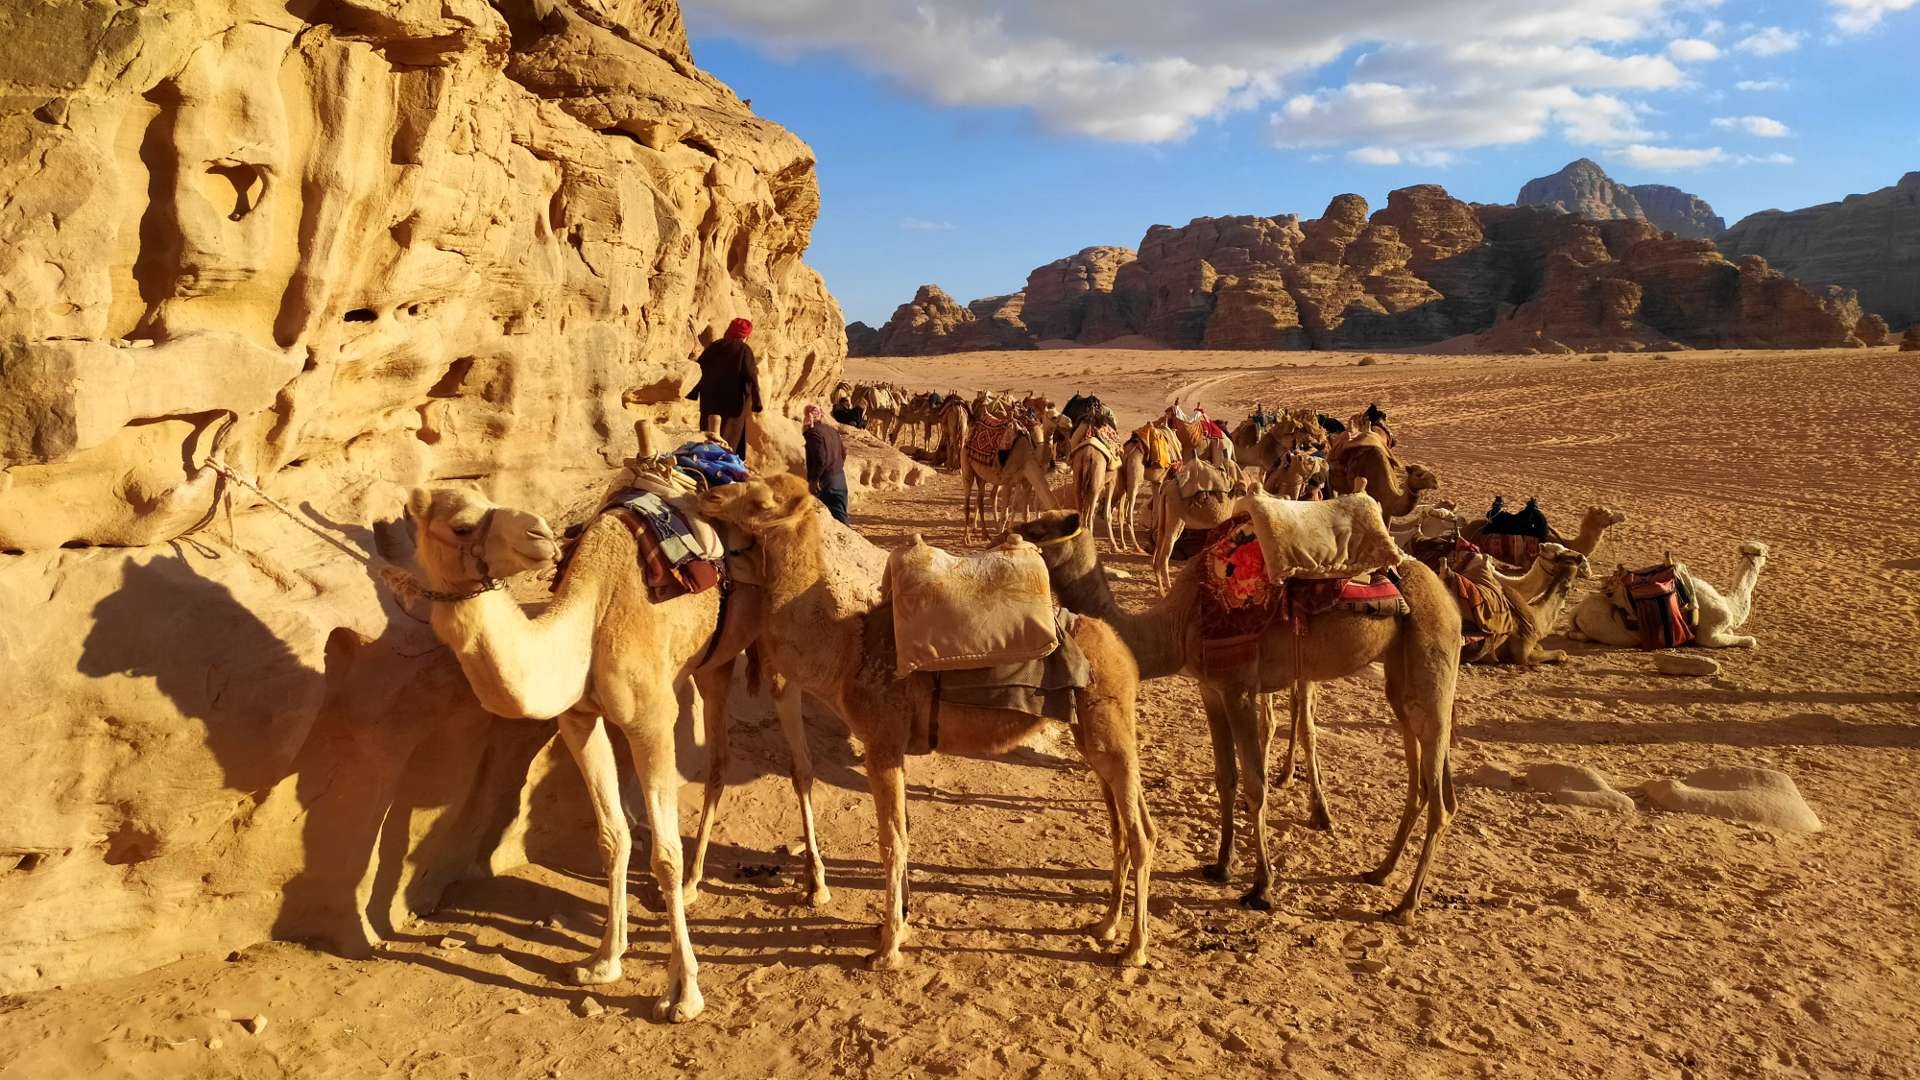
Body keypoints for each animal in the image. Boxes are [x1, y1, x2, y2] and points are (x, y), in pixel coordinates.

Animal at [406, 487, 809, 1023]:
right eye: (462, 525)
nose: (539, 533)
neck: (591, 616)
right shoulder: (579, 720)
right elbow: (612, 837)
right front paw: (603, 961)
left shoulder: (651, 721)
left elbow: (665, 853)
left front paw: (684, 993)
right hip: (713, 661)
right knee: (719, 759)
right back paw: (695, 883)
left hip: (776, 641)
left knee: (795, 759)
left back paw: (816, 885)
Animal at [701, 476, 1157, 968]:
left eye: (761, 500)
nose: (709, 494)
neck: (846, 651)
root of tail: (1124, 653)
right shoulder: (894, 746)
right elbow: (902, 835)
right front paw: (896, 925)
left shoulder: (881, 741)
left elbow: (890, 842)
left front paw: (886, 950)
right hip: (1095, 731)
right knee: (1125, 825)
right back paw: (1105, 925)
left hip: (1107, 723)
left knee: (1140, 834)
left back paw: (1134, 949)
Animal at [1010, 510, 1463, 921]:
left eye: (1039, 527)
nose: (1008, 534)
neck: (1177, 622)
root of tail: (1447, 596)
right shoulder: (1211, 689)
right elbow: (1225, 778)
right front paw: (1220, 865)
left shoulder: (1239, 687)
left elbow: (1255, 786)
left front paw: (1262, 887)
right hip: (1399, 679)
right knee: (1421, 780)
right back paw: (1380, 872)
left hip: (1432, 661)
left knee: (1441, 795)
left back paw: (1405, 906)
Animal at [1569, 542, 1770, 648]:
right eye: (1761, 551)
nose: (1769, 550)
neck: (1729, 605)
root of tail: (1577, 611)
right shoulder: (1710, 632)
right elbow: (1750, 640)